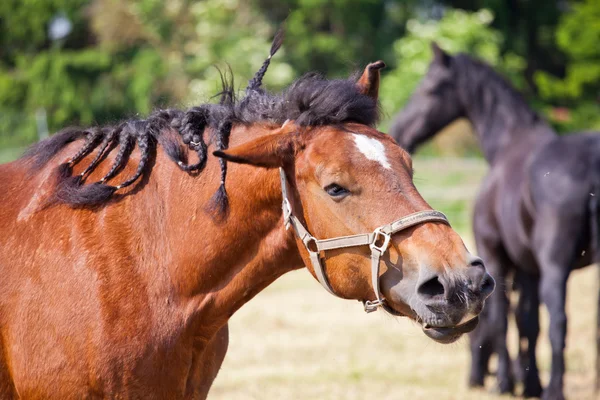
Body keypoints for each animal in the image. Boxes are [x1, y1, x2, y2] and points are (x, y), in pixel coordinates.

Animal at [392, 42, 596, 398]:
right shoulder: (528, 268)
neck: (507, 146)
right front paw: (529, 383)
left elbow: (502, 318)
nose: (399, 131)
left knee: (559, 321)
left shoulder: (495, 257)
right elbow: (528, 323)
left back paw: (554, 388)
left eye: (430, 89)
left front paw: (505, 382)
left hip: (556, 266)